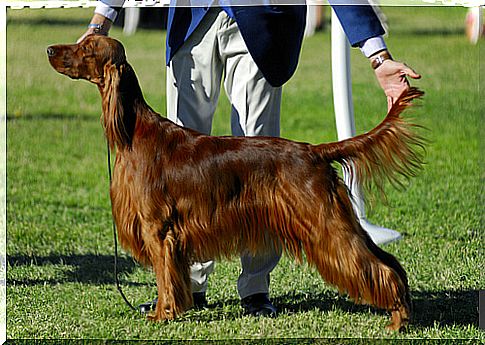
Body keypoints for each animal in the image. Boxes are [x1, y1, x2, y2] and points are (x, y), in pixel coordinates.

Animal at [46, 35, 424, 330]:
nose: (49, 49)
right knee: (390, 262)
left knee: (379, 267)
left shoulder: (158, 229)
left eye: (86, 48)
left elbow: (164, 277)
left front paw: (162, 315)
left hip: (326, 224)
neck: (133, 130)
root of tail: (314, 151)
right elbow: (174, 276)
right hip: (339, 220)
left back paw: (397, 319)